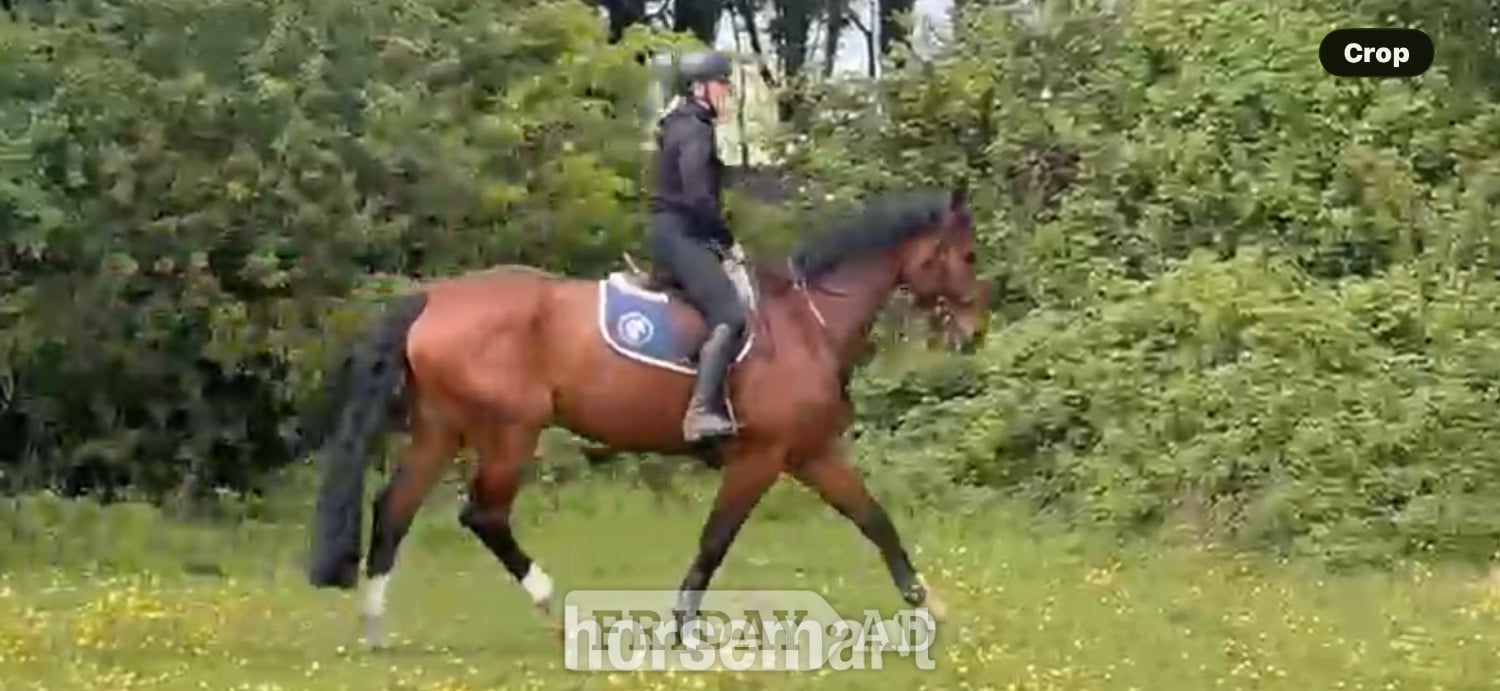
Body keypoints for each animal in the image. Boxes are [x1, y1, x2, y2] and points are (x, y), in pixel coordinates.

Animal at [302, 186, 989, 646]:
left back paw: (375, 626)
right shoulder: (762, 457)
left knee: (394, 509)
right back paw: (551, 603)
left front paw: (926, 608)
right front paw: (681, 628)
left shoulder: (811, 453)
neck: (806, 324)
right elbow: (715, 539)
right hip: (510, 431)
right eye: (968, 255)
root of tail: (433, 299)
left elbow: (875, 521)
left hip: (443, 429)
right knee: (483, 515)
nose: (976, 329)